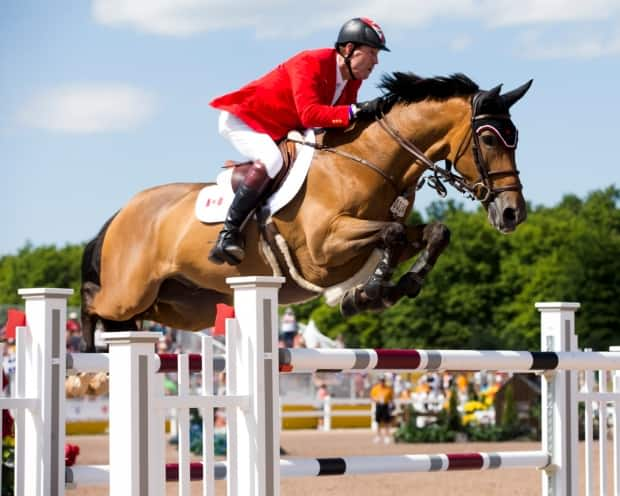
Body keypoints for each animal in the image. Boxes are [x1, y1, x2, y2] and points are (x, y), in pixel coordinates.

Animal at [78, 72, 532, 352]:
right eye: (489, 139)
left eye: (515, 136)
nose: (513, 213)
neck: (368, 161)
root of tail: (122, 212)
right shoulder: (323, 249)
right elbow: (391, 235)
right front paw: (370, 293)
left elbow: (434, 233)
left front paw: (395, 288)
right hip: (129, 292)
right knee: (92, 302)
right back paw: (85, 354)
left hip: (186, 305)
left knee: (132, 317)